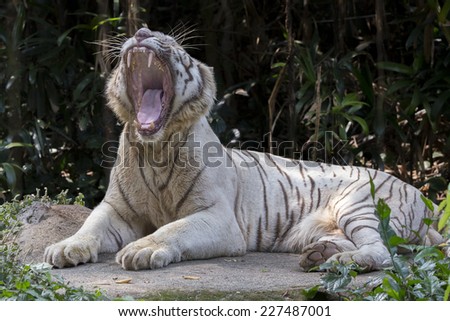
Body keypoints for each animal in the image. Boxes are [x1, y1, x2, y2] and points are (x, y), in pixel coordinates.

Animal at [44, 28, 446, 272]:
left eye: (174, 47)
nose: (142, 32)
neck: (154, 149)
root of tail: (425, 199)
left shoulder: (219, 217)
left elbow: (174, 229)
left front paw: (143, 249)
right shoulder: (118, 208)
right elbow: (90, 225)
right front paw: (65, 249)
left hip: (361, 204)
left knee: (384, 253)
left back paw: (336, 263)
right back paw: (321, 254)